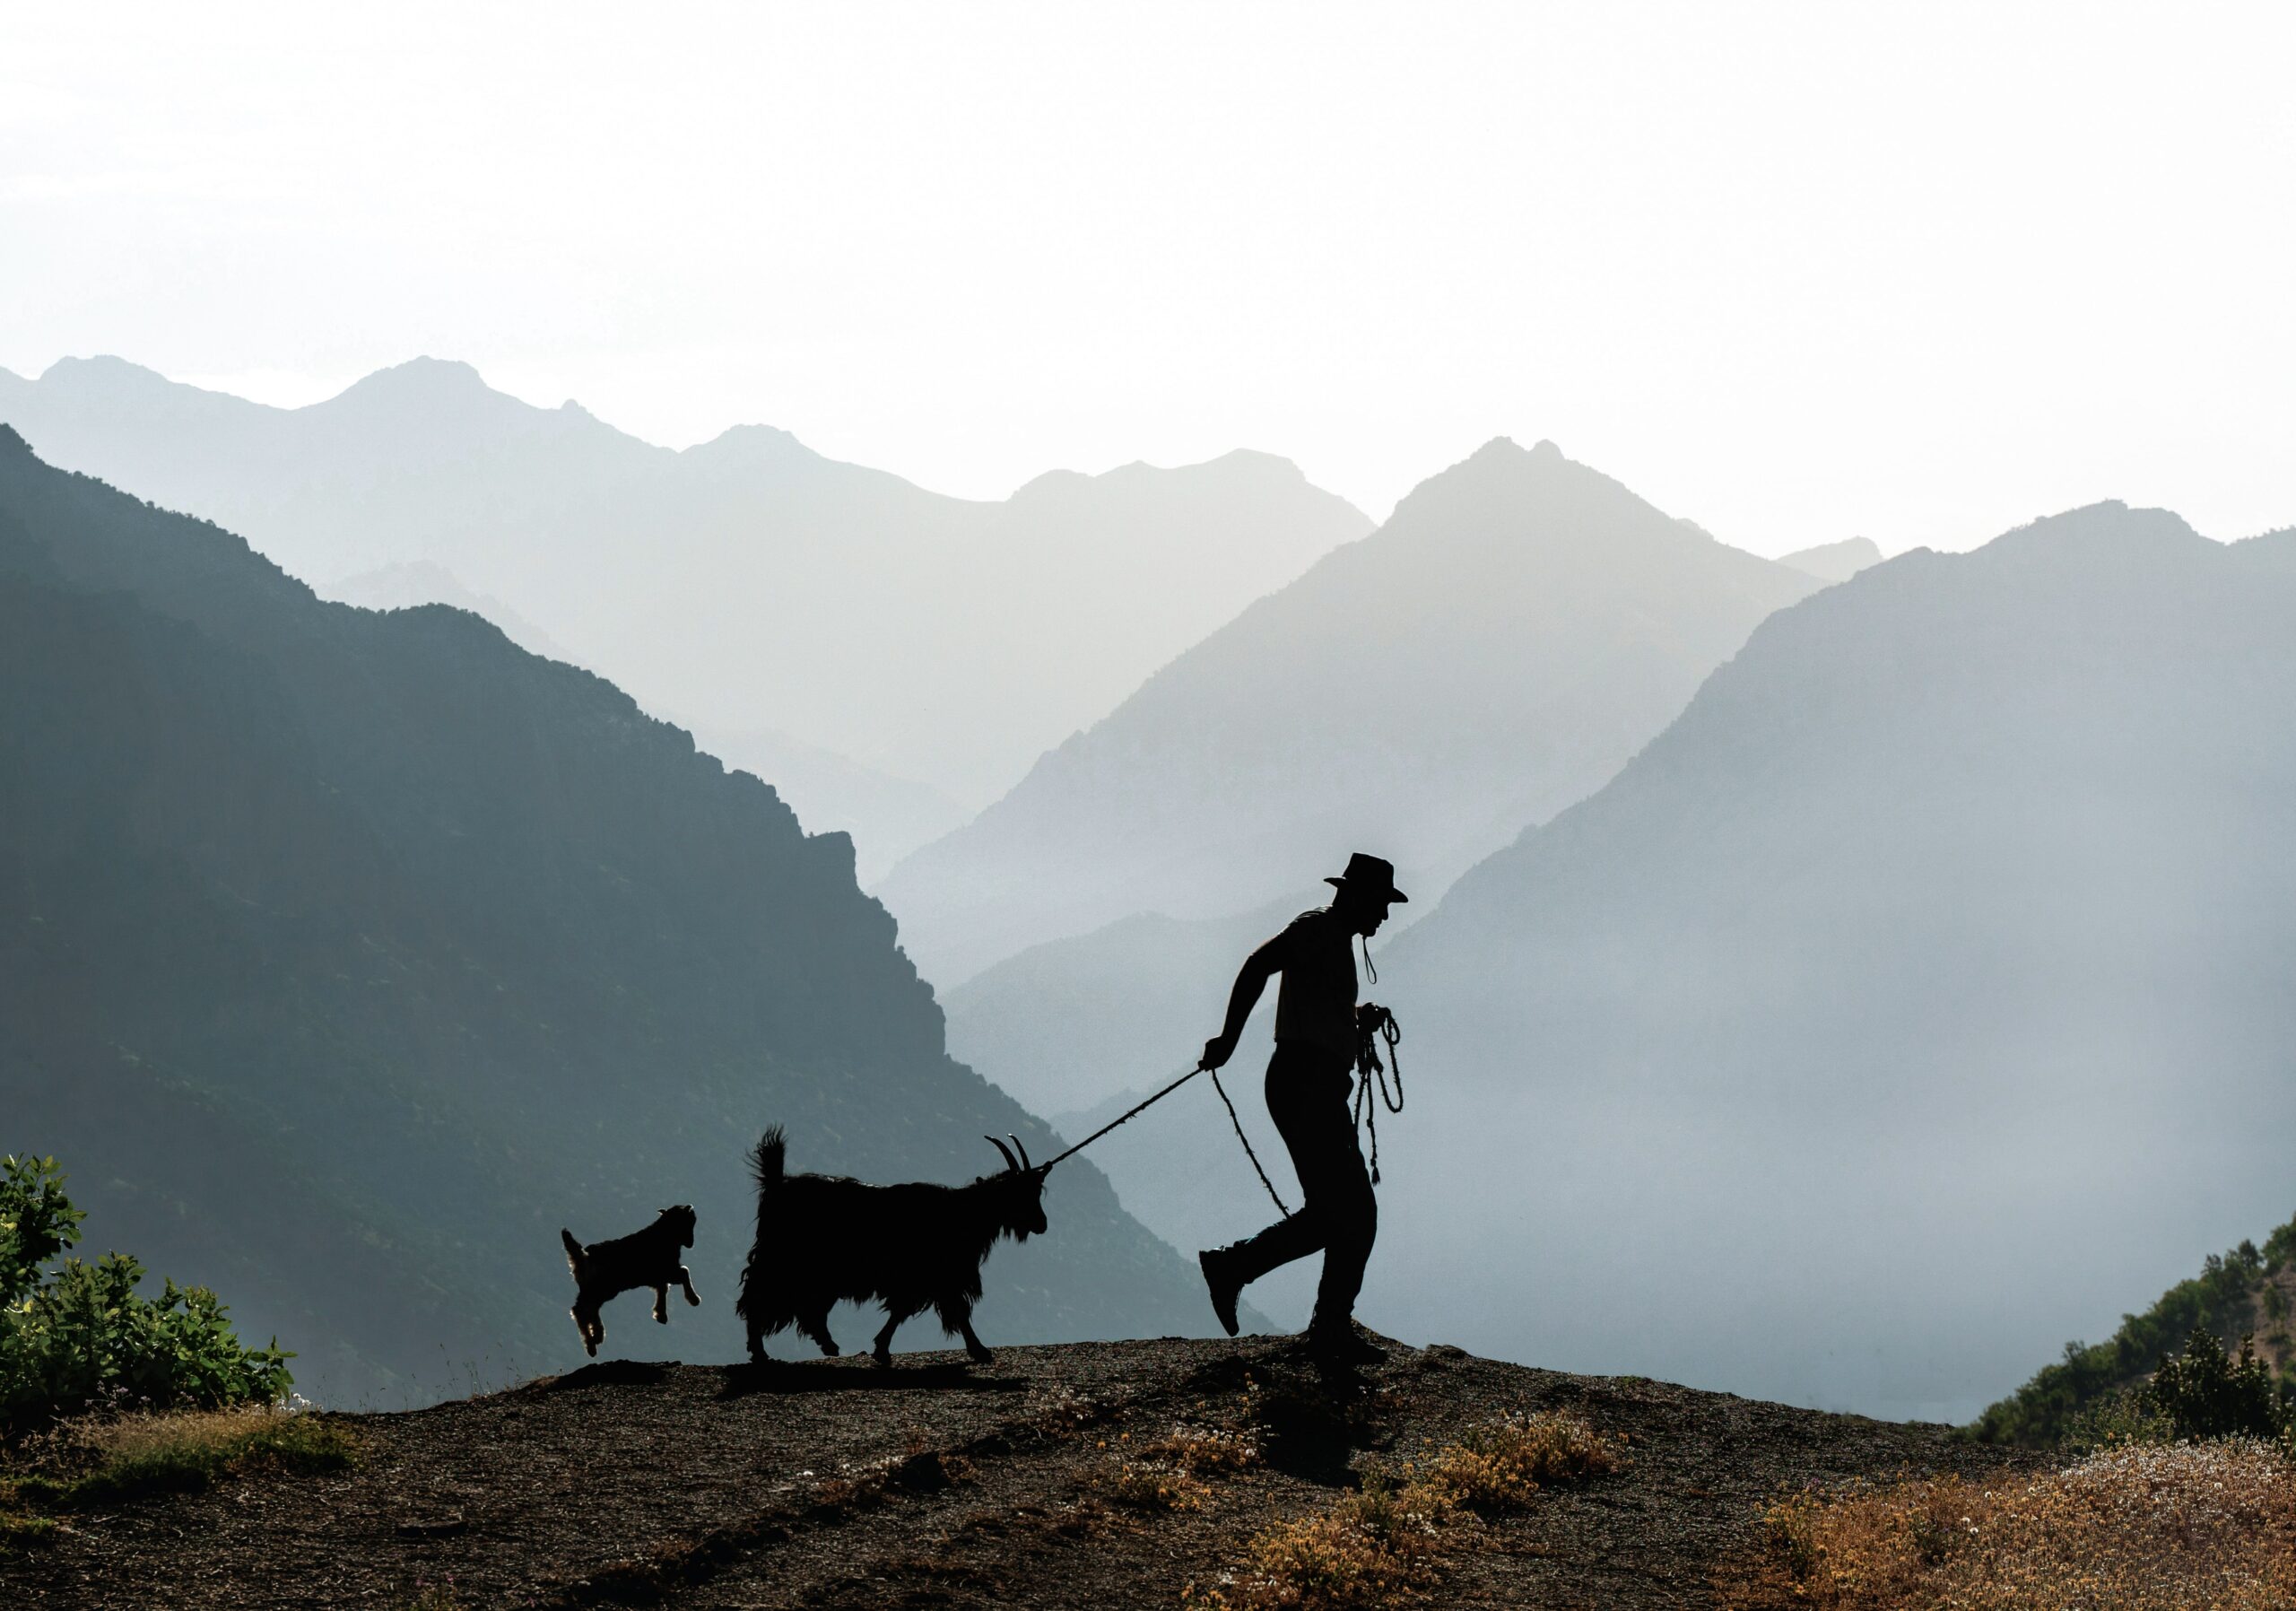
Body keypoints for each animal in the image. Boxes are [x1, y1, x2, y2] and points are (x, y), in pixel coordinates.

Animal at [735, 1128, 1051, 1367]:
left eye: (1038, 1190)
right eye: (1021, 1192)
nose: (1042, 1224)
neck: (962, 1213)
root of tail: (776, 1183)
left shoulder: (925, 1280)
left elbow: (902, 1310)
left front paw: (881, 1349)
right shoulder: (939, 1276)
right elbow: (955, 1311)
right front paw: (980, 1351)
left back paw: (826, 1345)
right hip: (781, 1260)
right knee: (758, 1298)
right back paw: (762, 1353)